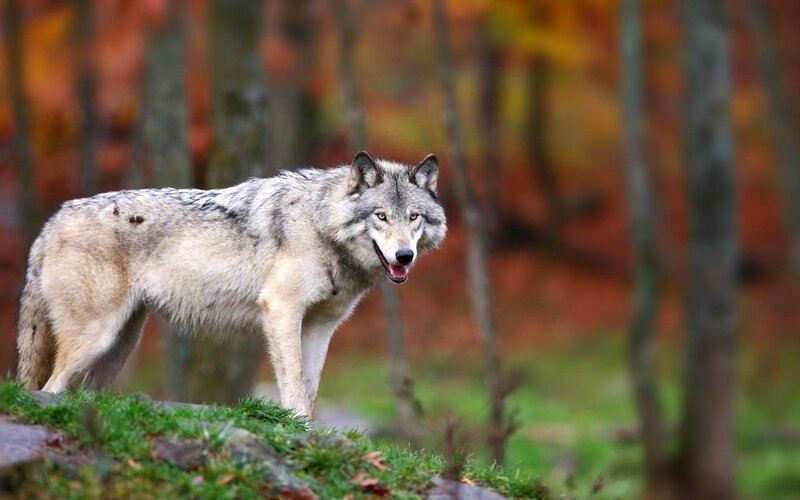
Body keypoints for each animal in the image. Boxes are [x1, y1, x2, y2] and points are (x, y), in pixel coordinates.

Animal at [15, 151, 446, 416]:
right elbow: (293, 385)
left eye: (414, 217)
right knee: (49, 388)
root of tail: (51, 221)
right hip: (95, 339)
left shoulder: (320, 327)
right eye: (380, 216)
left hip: (119, 346)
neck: (319, 223)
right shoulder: (281, 310)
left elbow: (310, 388)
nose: (404, 256)